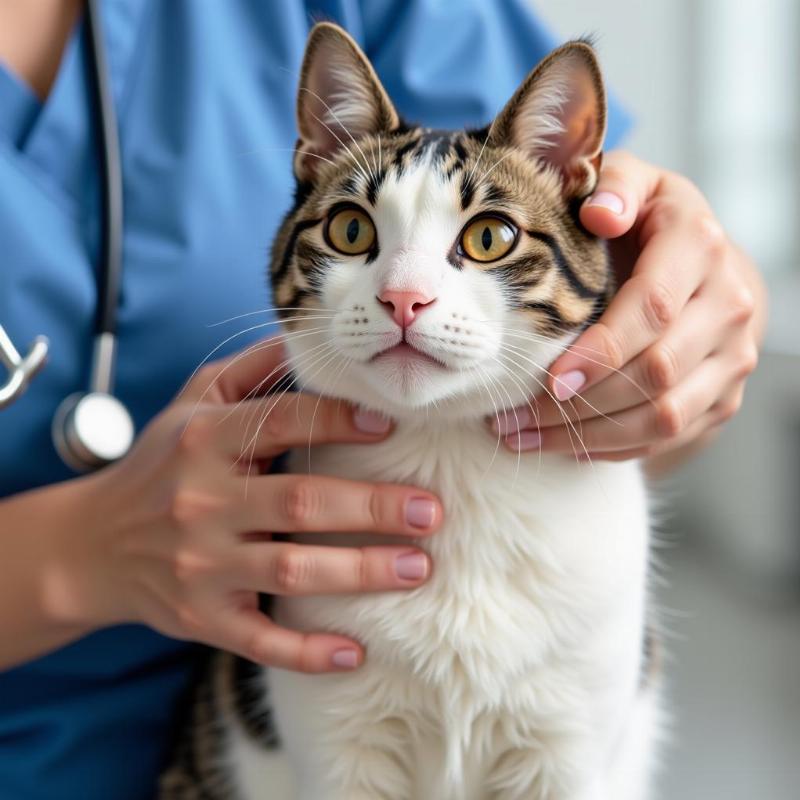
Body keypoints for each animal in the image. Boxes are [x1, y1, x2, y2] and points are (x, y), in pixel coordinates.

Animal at [159, 20, 660, 800]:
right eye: (350, 230)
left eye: (490, 237)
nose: (403, 298)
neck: (445, 453)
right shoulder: (336, 733)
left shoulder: (568, 740)